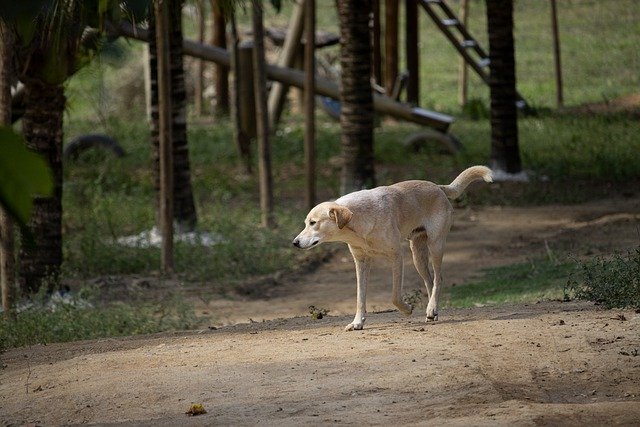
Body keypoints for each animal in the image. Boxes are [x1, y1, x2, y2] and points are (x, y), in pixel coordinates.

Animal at [292, 166, 492, 332]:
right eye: (306, 223)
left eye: (313, 223)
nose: (295, 242)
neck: (359, 220)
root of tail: (438, 187)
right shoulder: (361, 262)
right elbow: (360, 297)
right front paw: (357, 323)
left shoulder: (397, 256)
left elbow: (394, 296)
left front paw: (407, 309)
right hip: (417, 255)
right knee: (430, 281)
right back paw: (431, 311)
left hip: (435, 246)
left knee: (439, 278)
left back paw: (432, 308)